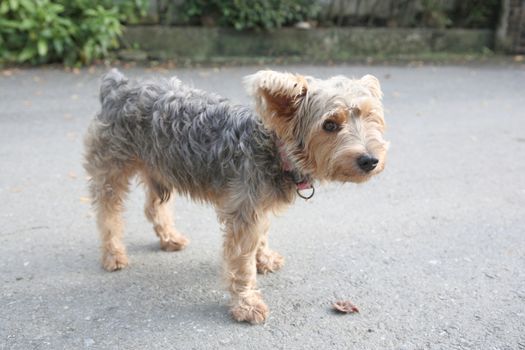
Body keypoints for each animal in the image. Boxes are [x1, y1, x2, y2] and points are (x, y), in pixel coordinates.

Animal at [84, 69, 386, 326]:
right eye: (330, 125)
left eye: (370, 116)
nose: (370, 160)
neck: (273, 149)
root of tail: (118, 86)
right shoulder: (244, 214)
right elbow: (242, 265)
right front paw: (246, 303)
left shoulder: (257, 208)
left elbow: (261, 237)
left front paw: (263, 259)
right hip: (112, 171)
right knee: (107, 214)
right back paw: (113, 254)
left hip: (160, 170)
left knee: (152, 207)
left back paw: (169, 237)